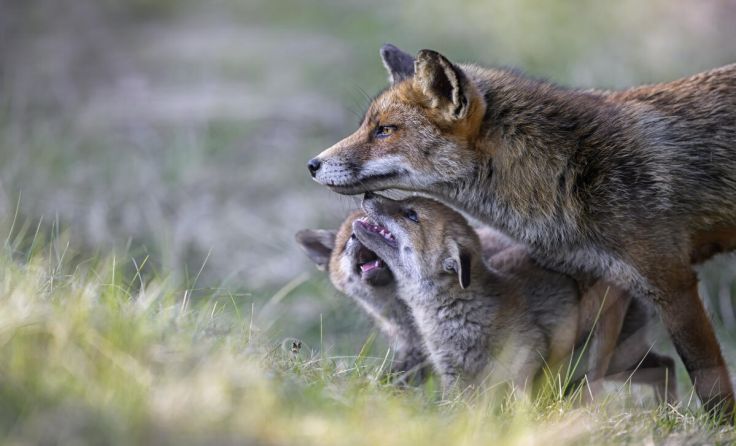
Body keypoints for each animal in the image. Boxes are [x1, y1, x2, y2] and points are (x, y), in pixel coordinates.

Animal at [307, 44, 736, 414]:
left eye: (384, 130)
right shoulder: (604, 282)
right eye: (366, 126)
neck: (569, 173)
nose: (312, 164)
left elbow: (710, 383)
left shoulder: (671, 283)